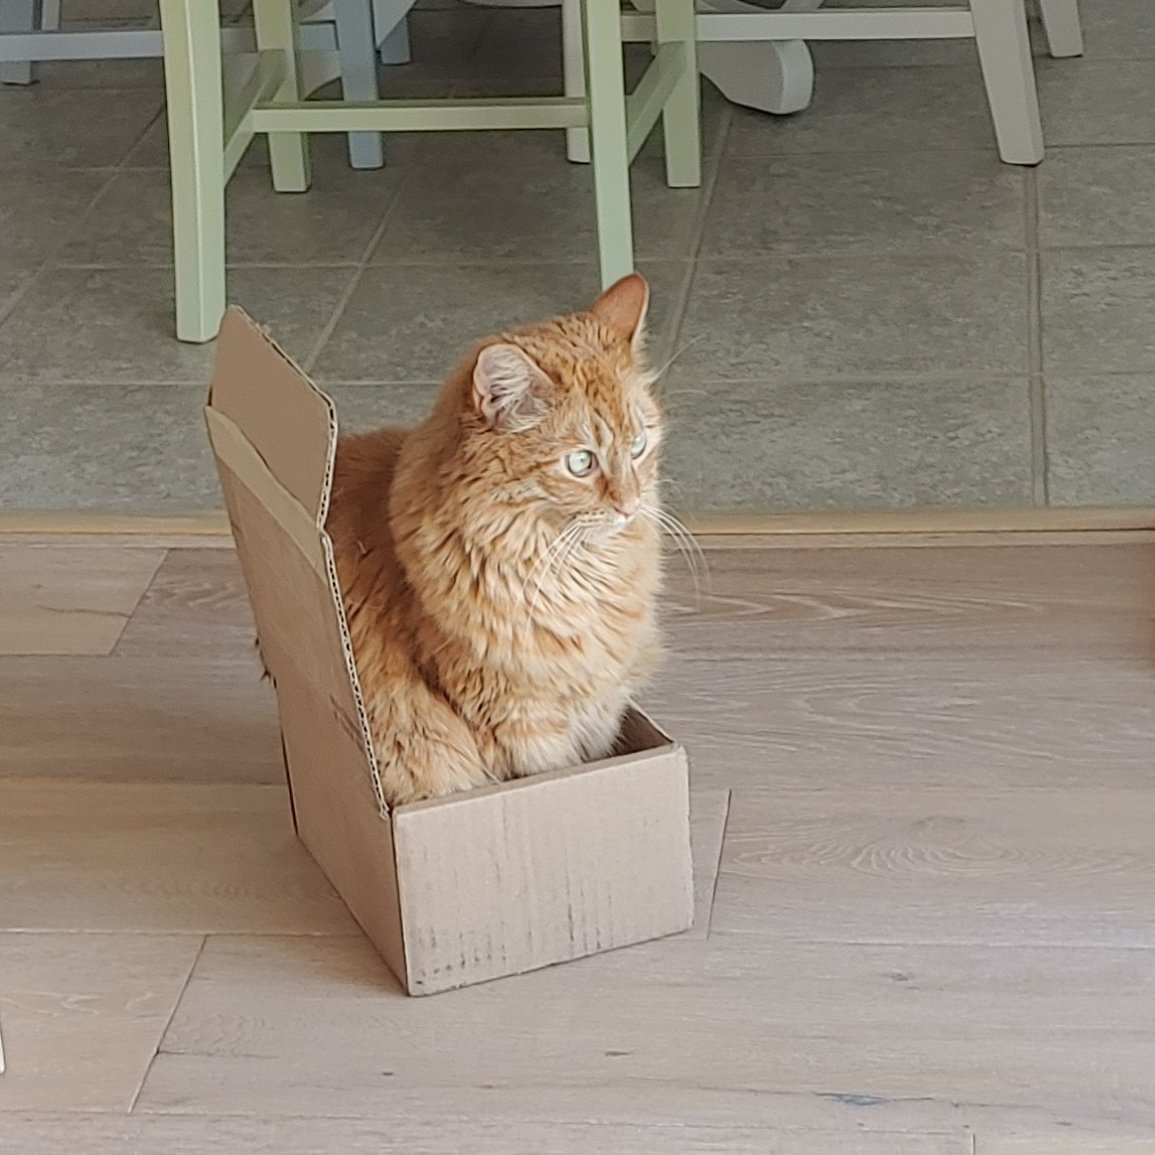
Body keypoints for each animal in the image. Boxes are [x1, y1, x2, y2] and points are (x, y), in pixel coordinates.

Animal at [328, 274, 669, 808]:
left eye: (638, 447)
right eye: (581, 462)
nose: (630, 504)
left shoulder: (600, 707)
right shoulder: (520, 720)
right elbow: (554, 774)